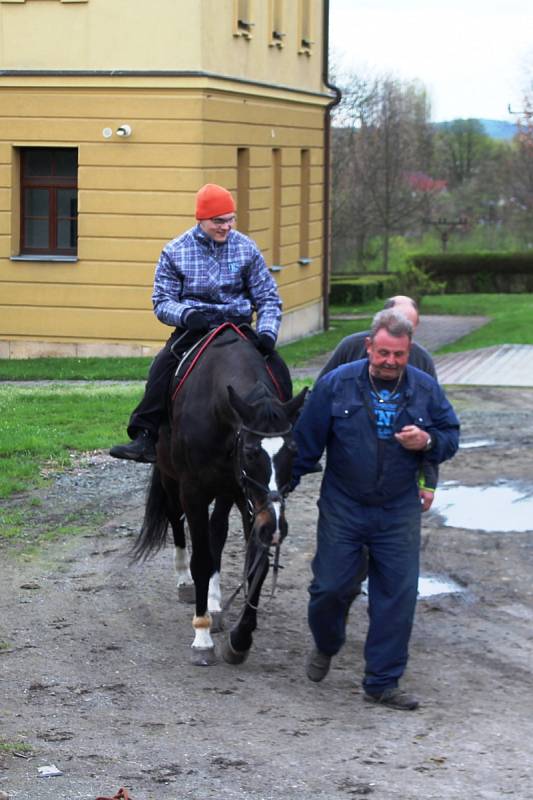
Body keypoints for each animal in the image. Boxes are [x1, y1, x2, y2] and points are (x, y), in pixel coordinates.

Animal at [133, 324, 306, 668]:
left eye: (292, 451)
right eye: (251, 452)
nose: (276, 527)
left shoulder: (250, 500)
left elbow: (257, 563)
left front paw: (240, 639)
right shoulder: (193, 490)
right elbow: (200, 558)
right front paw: (201, 636)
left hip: (229, 493)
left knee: (217, 532)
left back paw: (214, 603)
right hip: (171, 477)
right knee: (176, 521)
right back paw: (185, 583)